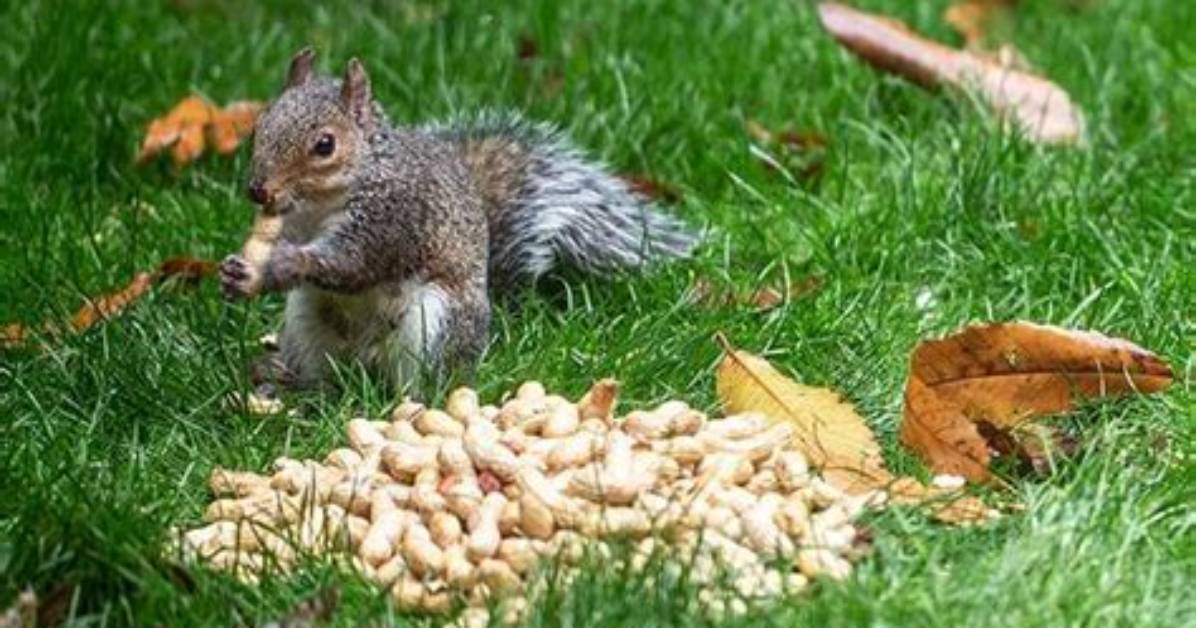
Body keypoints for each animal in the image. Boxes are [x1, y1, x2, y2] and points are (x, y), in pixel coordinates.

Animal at [220, 48, 697, 390]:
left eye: (324, 145)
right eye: (259, 126)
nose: (258, 190)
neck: (319, 205)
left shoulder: (394, 218)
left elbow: (350, 264)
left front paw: (281, 263)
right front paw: (233, 270)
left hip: (433, 323)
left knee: (421, 385)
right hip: (307, 325)